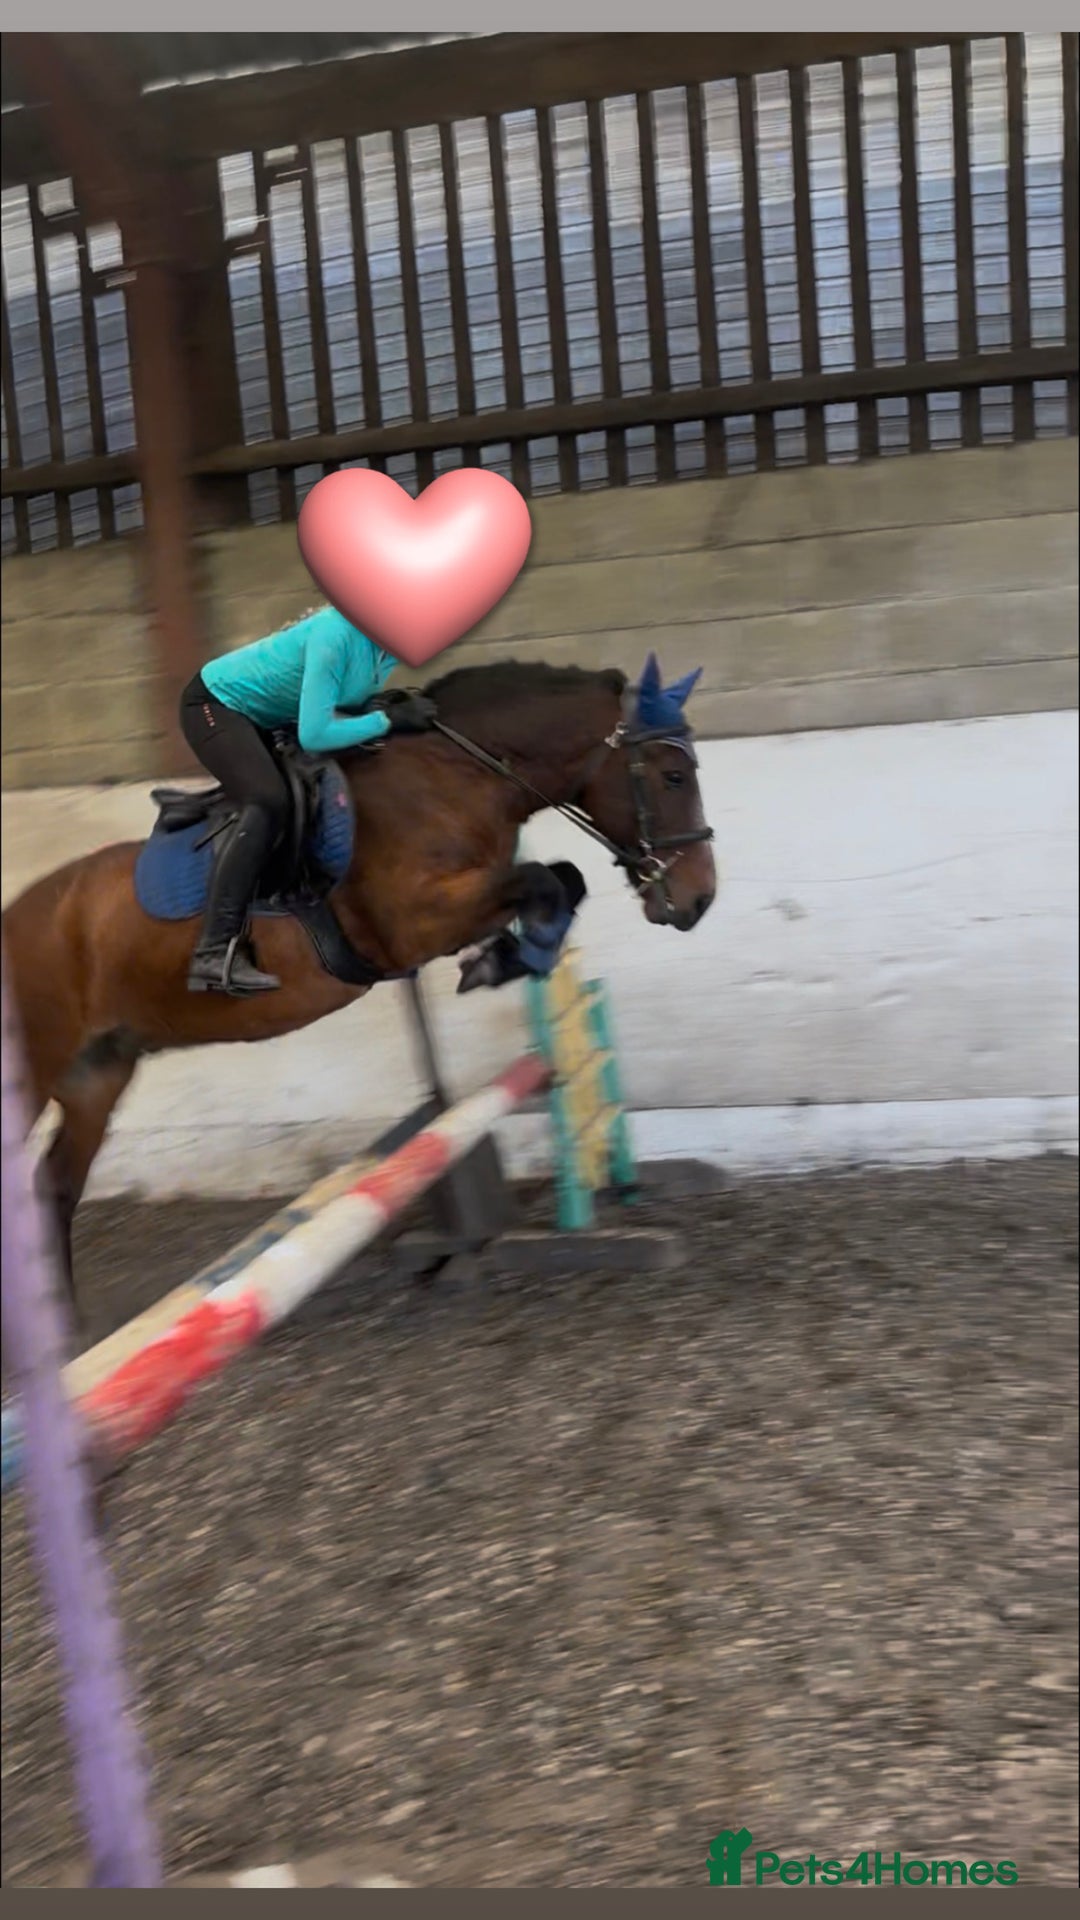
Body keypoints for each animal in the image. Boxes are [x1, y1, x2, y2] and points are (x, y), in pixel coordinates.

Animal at [2, 654, 717, 1321]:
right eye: (672, 776)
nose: (699, 900)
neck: (456, 777)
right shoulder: (417, 922)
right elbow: (545, 878)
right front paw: (509, 956)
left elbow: (563, 879)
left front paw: (507, 957)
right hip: (39, 1069)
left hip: (98, 1073)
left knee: (53, 1186)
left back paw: (67, 1333)